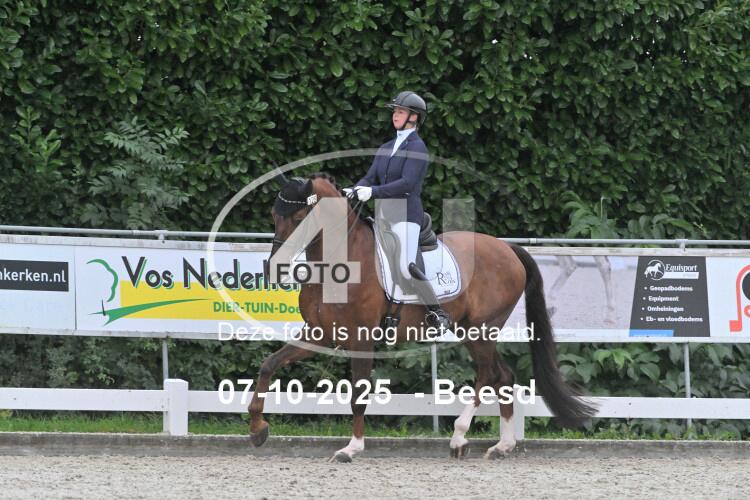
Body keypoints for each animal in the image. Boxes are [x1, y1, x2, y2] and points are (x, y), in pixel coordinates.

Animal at [248, 172, 596, 461]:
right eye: (274, 215)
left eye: (298, 217)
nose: (273, 269)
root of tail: (508, 248)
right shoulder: (318, 334)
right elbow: (268, 365)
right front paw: (257, 428)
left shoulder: (362, 340)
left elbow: (359, 394)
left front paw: (352, 448)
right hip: (473, 331)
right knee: (504, 377)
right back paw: (503, 445)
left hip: (480, 330)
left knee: (488, 375)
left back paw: (459, 437)